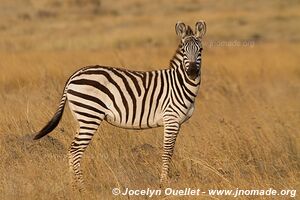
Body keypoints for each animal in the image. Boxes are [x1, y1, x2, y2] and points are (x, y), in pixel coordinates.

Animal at [32, 21, 206, 190]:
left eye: (201, 50)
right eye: (183, 50)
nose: (192, 72)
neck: (180, 84)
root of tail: (74, 75)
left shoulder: (177, 123)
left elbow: (170, 150)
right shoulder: (171, 119)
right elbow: (168, 151)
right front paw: (164, 182)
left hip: (81, 117)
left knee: (71, 149)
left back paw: (73, 186)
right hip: (90, 114)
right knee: (75, 150)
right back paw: (82, 187)